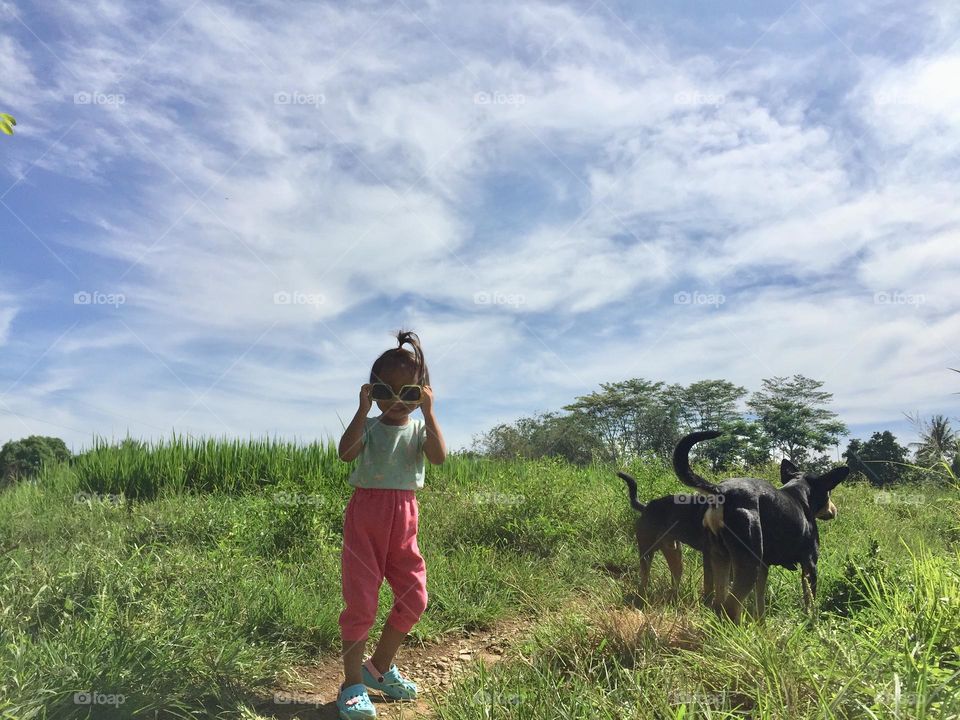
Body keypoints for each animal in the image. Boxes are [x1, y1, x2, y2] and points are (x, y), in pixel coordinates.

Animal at [672, 430, 844, 620]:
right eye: (829, 492)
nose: (834, 510)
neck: (800, 492)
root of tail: (721, 491)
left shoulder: (764, 567)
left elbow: (759, 602)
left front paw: (761, 624)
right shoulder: (809, 564)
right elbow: (810, 603)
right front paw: (812, 621)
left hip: (720, 557)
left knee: (719, 603)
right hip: (749, 562)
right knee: (730, 606)